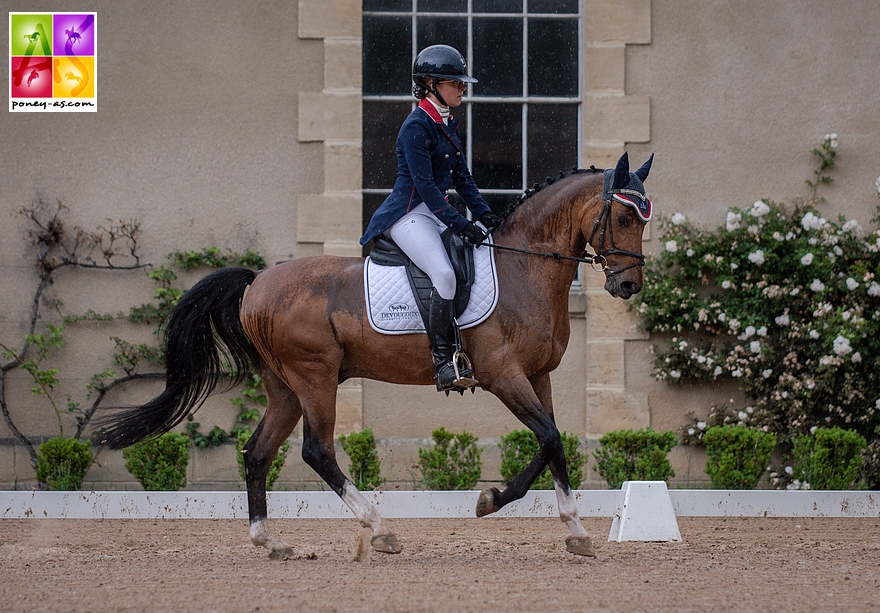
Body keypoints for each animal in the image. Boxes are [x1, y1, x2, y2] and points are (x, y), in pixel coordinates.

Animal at [101, 151, 652, 556]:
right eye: (625, 215)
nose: (628, 285)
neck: (526, 268)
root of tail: (257, 282)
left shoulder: (538, 377)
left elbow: (551, 443)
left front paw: (571, 529)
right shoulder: (503, 376)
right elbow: (551, 439)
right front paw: (495, 502)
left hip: (285, 388)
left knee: (258, 452)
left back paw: (270, 542)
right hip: (315, 378)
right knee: (316, 450)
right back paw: (381, 529)